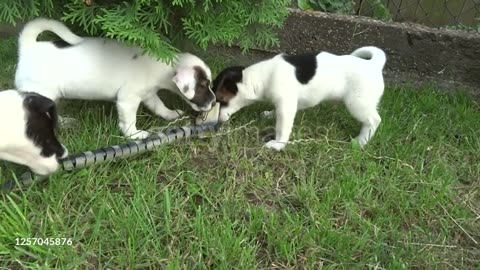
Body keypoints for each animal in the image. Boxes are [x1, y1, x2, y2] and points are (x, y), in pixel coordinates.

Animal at [15, 17, 216, 139]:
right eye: (203, 86)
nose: (214, 102)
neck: (162, 65)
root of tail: (28, 48)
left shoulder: (149, 95)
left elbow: (160, 107)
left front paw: (172, 114)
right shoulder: (128, 100)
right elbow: (129, 122)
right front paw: (135, 135)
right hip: (40, 93)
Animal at [213, 47, 386, 151]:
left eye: (220, 100)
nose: (214, 124)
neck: (259, 78)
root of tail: (374, 65)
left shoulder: (286, 106)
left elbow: (282, 128)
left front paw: (278, 144)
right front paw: (269, 114)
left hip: (357, 103)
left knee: (374, 120)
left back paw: (360, 141)